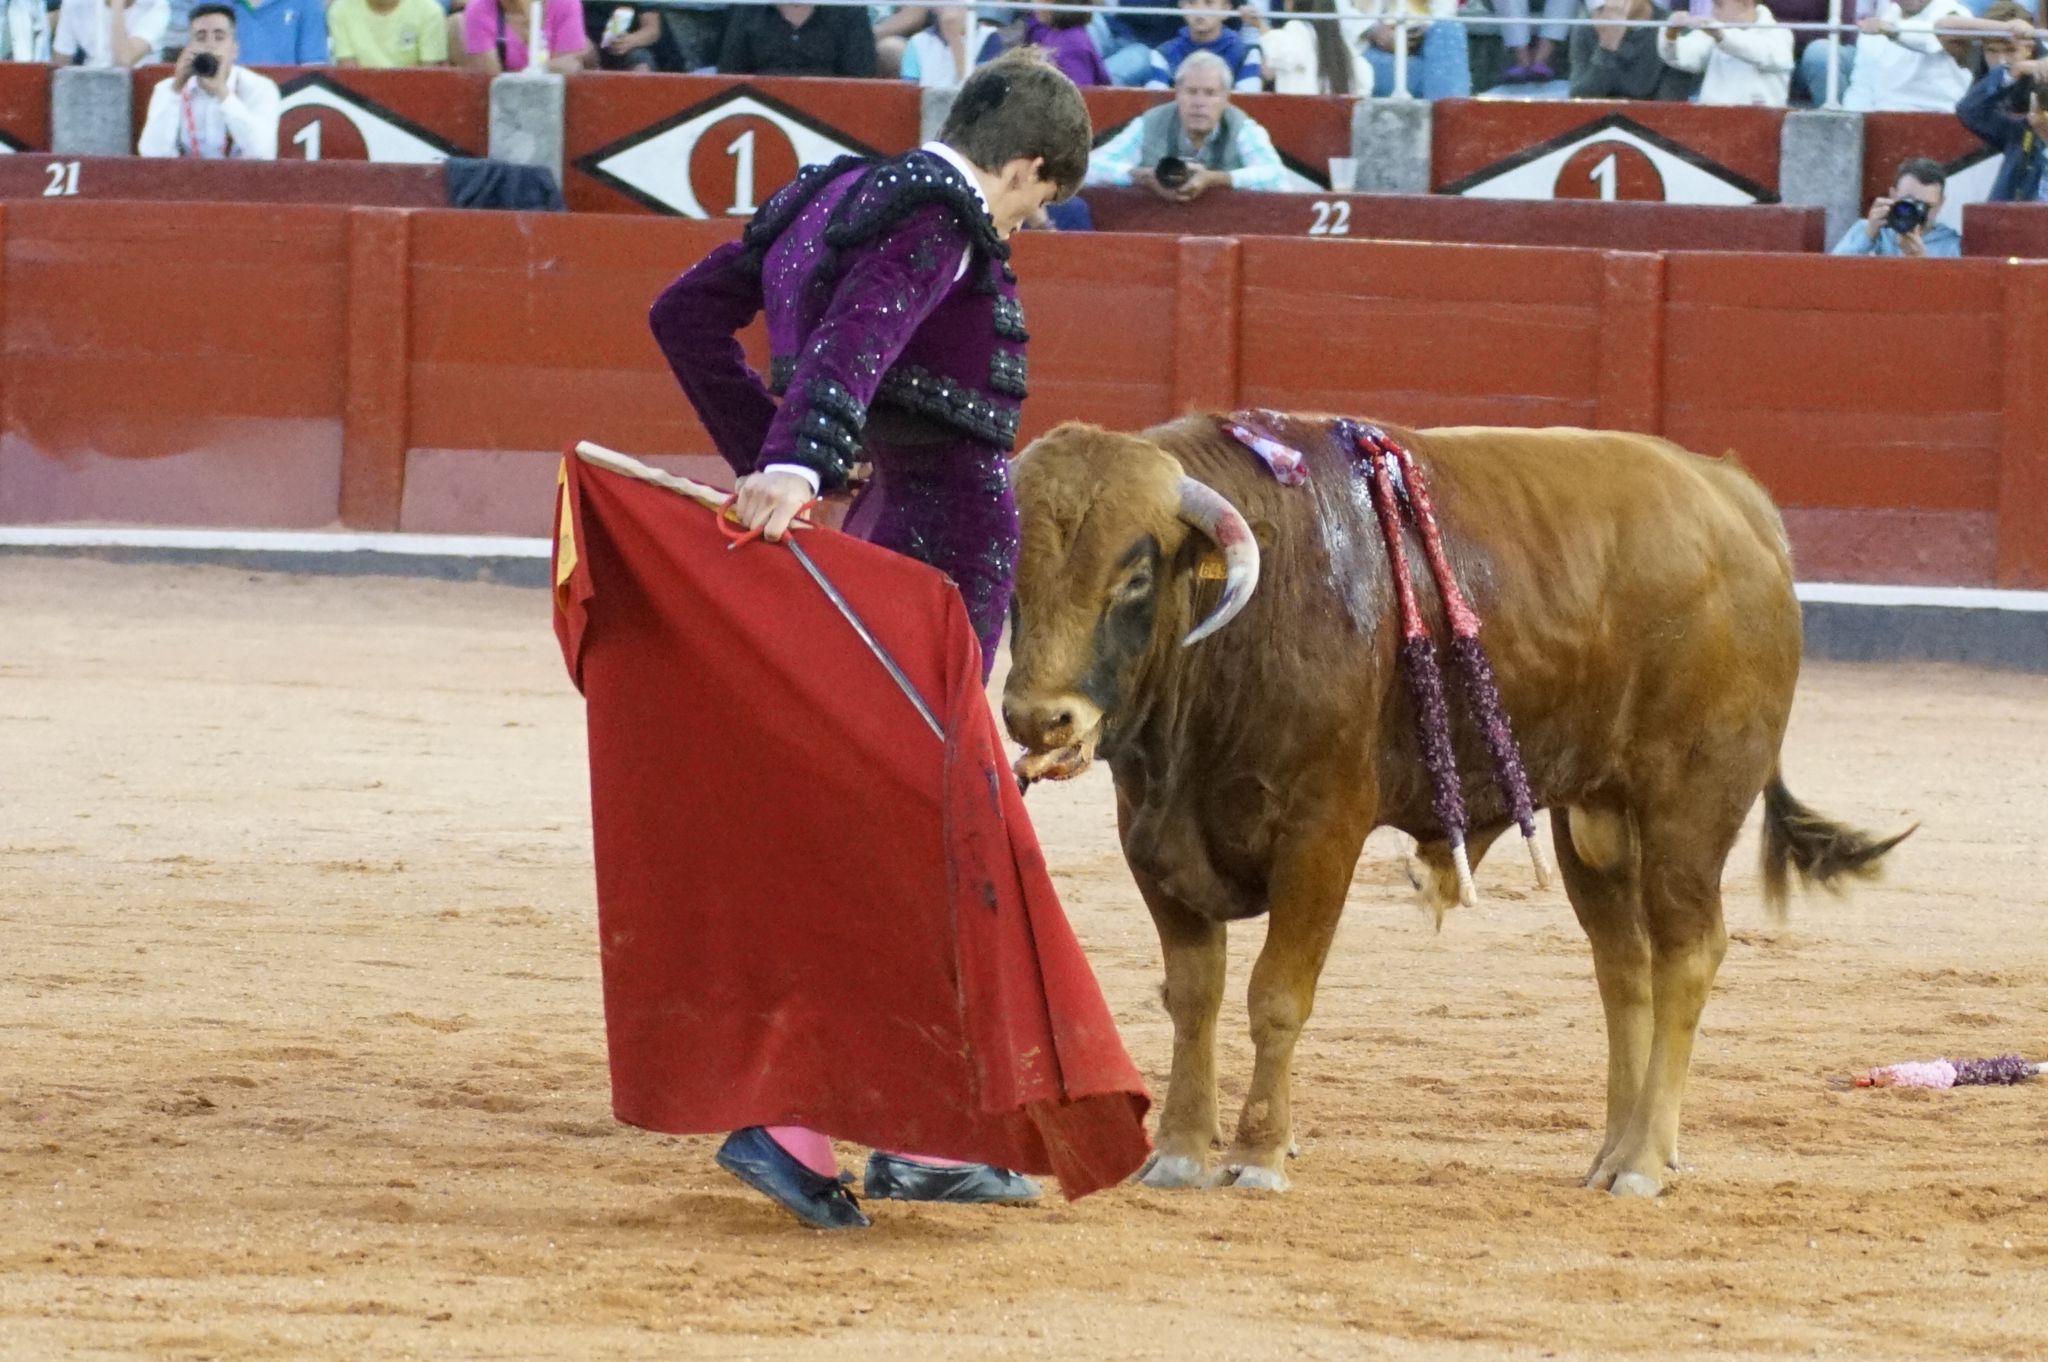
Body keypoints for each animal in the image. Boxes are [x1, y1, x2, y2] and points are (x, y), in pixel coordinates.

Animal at [999, 411, 1908, 1187]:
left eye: (1136, 574)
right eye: (1017, 569)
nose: (1040, 717)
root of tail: (1732, 495)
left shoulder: (1322, 833)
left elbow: (1275, 997)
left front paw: (1258, 1156)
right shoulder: (1152, 836)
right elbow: (1193, 997)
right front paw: (1181, 1152)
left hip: (1691, 806)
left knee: (1688, 955)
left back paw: (1645, 1164)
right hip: (1595, 821)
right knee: (1624, 967)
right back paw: (1612, 1153)